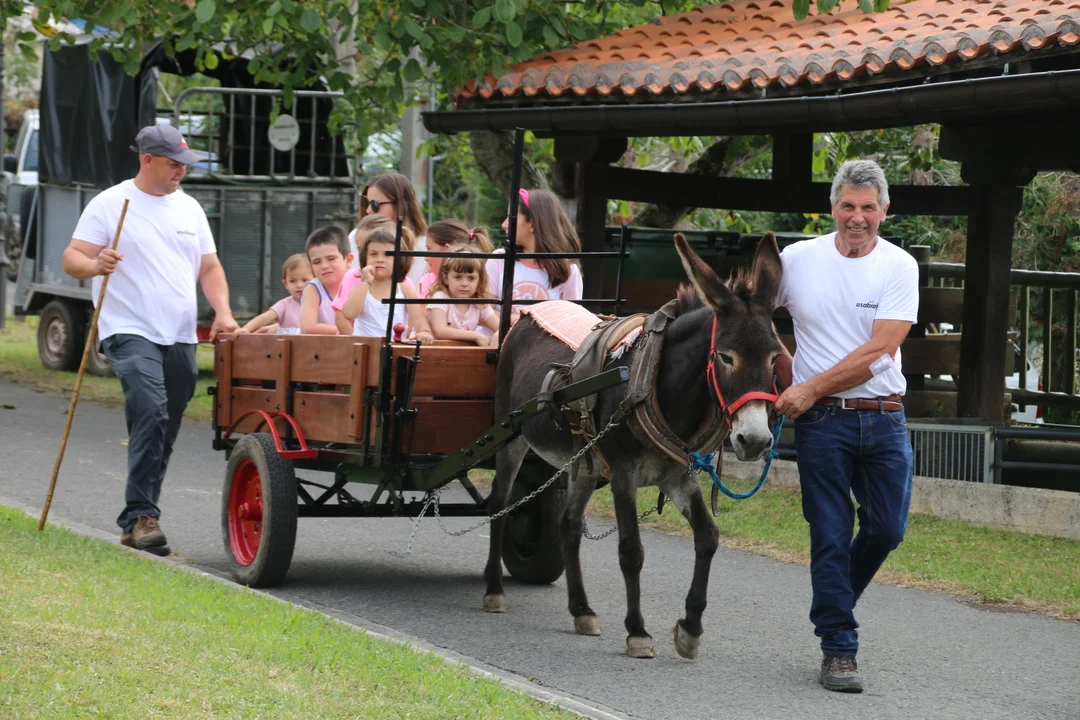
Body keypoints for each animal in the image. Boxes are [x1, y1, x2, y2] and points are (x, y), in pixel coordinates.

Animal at [482, 232, 784, 660]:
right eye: (726, 357)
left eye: (775, 357)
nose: (755, 440)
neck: (661, 386)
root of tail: (527, 314)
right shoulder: (624, 473)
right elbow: (631, 550)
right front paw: (638, 632)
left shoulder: (678, 475)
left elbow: (708, 537)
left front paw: (690, 629)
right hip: (512, 440)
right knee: (500, 505)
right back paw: (494, 590)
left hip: (585, 463)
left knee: (568, 525)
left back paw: (582, 610)